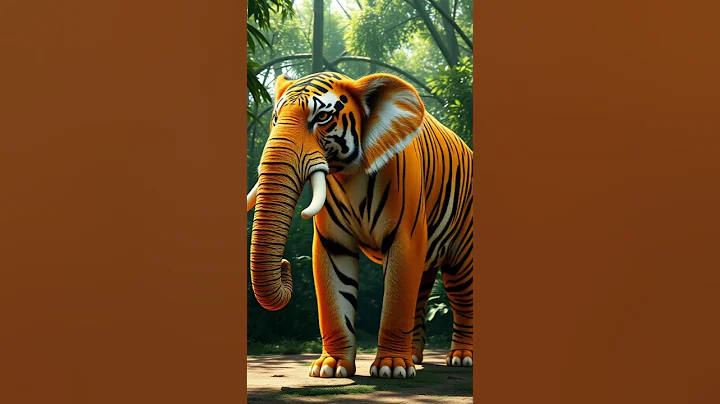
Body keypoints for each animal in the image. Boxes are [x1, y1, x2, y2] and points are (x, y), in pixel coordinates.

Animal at [246, 71, 473, 379]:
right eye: (275, 118)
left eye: (321, 117)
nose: (285, 264)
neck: (349, 174)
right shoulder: (333, 242)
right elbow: (335, 296)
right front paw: (331, 365)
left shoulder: (405, 236)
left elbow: (396, 298)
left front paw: (392, 366)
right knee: (419, 296)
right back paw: (414, 356)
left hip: (462, 253)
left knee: (463, 299)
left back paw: (461, 357)